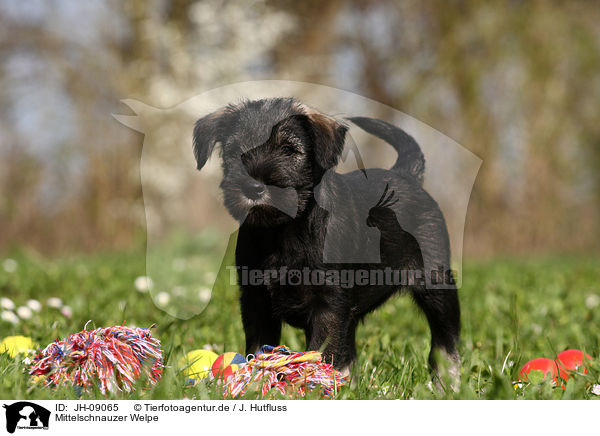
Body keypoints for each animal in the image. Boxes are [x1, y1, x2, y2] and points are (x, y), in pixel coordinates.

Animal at [192, 99, 460, 378]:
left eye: (288, 150)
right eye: (233, 151)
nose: (253, 187)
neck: (282, 231)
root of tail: (406, 175)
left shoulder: (329, 305)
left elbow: (320, 353)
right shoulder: (257, 302)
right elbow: (258, 351)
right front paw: (257, 382)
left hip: (436, 285)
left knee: (445, 343)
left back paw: (447, 381)